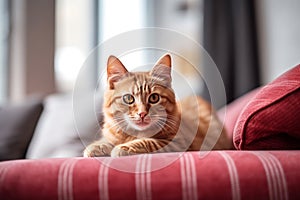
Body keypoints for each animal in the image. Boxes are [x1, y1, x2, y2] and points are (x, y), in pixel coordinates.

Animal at [83, 54, 233, 158]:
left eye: (154, 98)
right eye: (128, 98)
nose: (142, 113)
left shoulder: (178, 142)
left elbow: (147, 141)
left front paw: (123, 147)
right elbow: (107, 140)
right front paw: (97, 146)